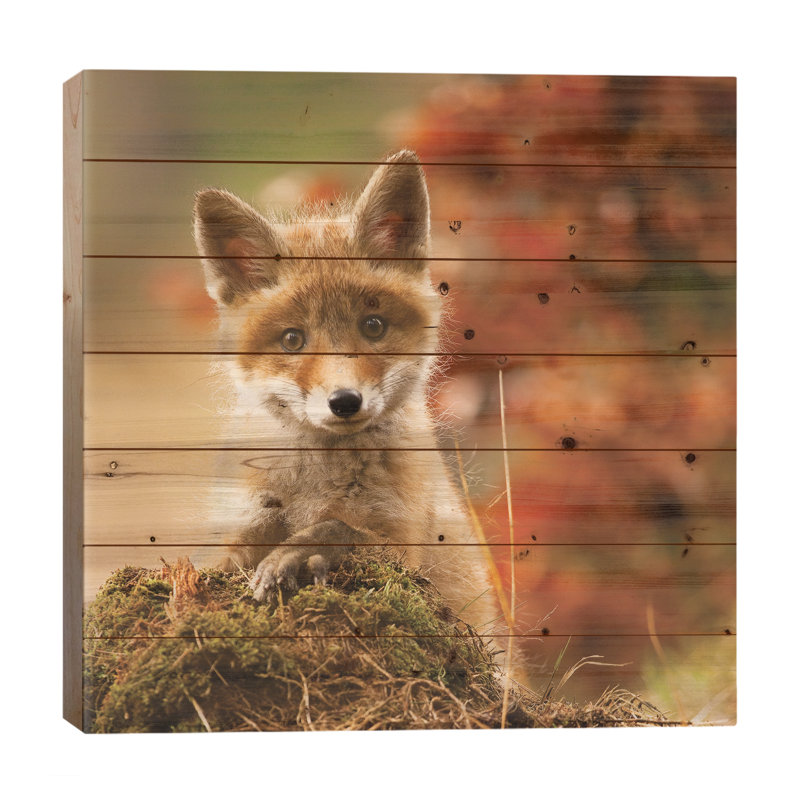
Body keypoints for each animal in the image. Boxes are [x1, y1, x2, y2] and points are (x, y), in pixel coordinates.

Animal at [192, 150, 502, 642]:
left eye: (372, 326)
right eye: (293, 340)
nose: (344, 402)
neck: (318, 476)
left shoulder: (402, 546)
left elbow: (339, 529)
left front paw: (294, 553)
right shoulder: (240, 528)